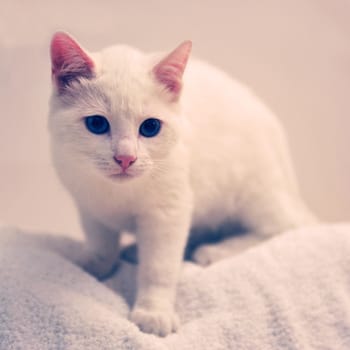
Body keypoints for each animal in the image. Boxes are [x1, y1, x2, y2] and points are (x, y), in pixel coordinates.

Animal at [47, 32, 316, 336]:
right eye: (96, 123)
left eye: (150, 127)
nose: (125, 158)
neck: (118, 194)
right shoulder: (88, 203)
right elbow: (100, 240)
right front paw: (95, 264)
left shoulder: (169, 210)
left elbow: (159, 267)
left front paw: (154, 311)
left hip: (255, 190)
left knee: (283, 228)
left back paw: (214, 250)